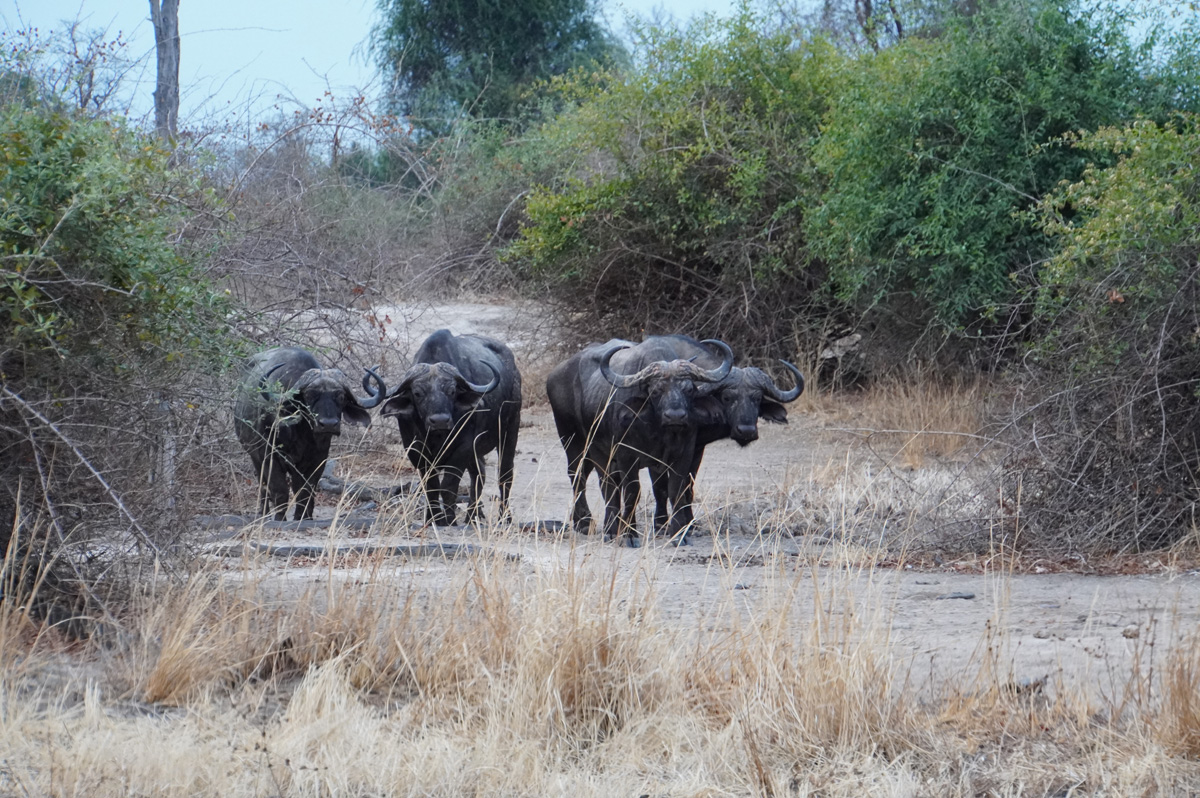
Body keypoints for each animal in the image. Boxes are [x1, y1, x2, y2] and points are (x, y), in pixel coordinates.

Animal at [234, 347, 386, 521]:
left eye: (341, 397)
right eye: (309, 395)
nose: (328, 424)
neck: (300, 434)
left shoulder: (318, 459)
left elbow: (306, 492)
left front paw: (304, 518)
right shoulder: (268, 456)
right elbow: (279, 491)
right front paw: (280, 519)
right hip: (254, 456)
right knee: (263, 486)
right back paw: (263, 514)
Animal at [381, 329, 522, 526]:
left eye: (452, 391)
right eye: (417, 393)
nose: (440, 421)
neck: (437, 436)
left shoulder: (463, 448)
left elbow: (448, 485)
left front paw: (449, 520)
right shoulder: (415, 450)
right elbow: (431, 486)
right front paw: (433, 518)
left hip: (510, 428)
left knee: (505, 474)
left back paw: (504, 518)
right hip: (477, 450)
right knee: (479, 474)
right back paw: (472, 517)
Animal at [545, 337, 733, 547]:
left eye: (689, 389)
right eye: (656, 390)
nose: (675, 416)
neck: (659, 429)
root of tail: (555, 374)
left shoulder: (683, 453)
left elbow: (674, 490)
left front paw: (677, 533)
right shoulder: (627, 455)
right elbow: (632, 493)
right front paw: (629, 535)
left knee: (608, 483)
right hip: (577, 442)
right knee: (588, 480)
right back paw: (593, 525)